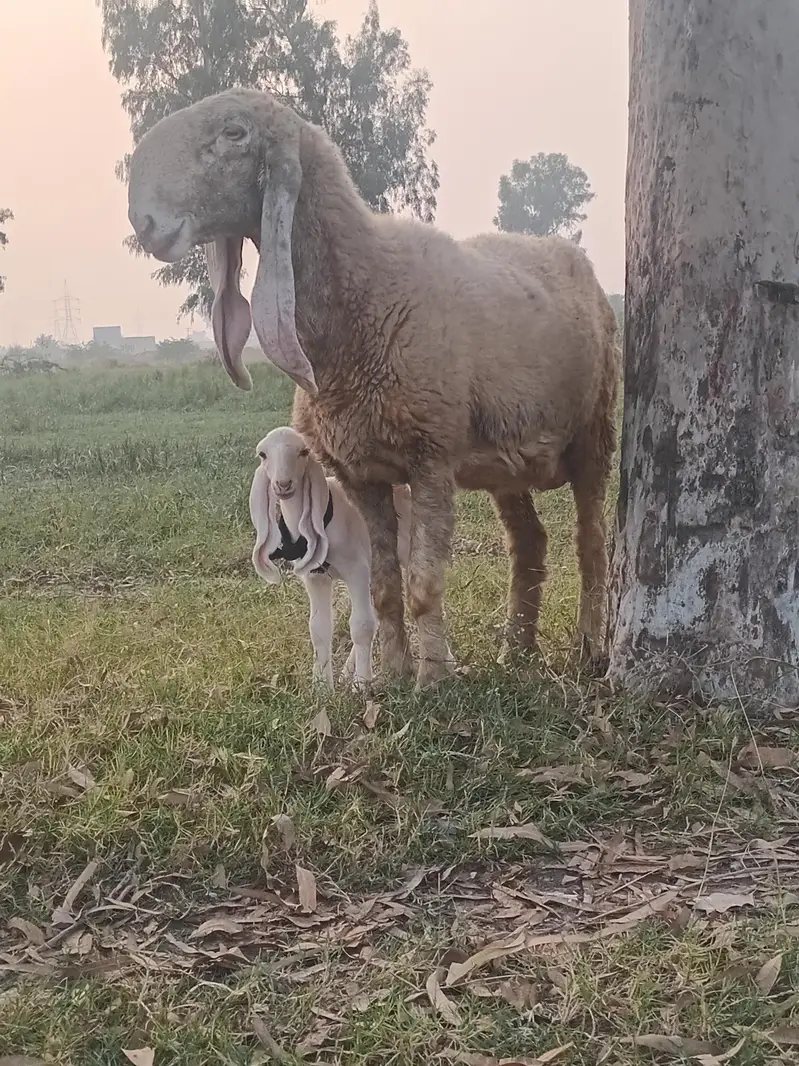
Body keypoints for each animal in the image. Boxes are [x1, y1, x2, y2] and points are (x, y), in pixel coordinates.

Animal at [250, 426, 410, 689]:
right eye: (263, 454)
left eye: (304, 451)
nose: (283, 484)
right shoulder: (315, 577)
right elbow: (319, 628)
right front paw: (322, 686)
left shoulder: (356, 569)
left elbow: (361, 625)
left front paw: (362, 684)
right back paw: (346, 672)